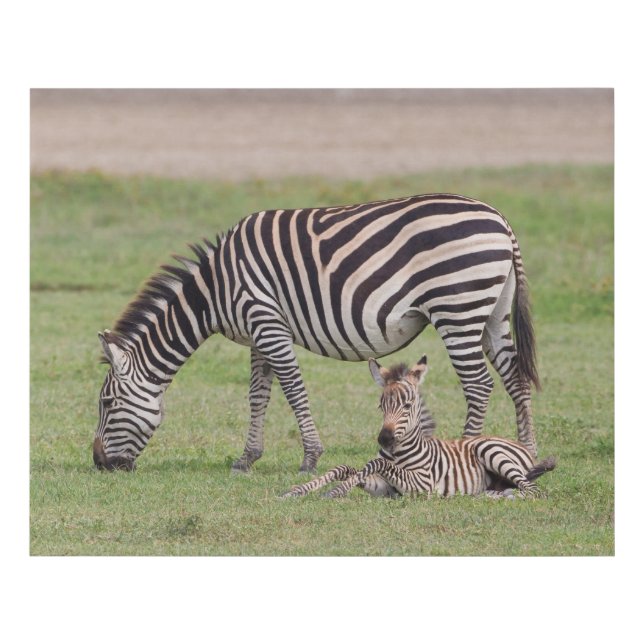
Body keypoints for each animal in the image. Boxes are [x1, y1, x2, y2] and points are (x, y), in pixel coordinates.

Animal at [93, 193, 540, 473]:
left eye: (107, 403)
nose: (98, 464)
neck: (215, 290)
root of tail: (500, 219)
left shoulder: (267, 322)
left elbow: (293, 389)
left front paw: (309, 458)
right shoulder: (258, 334)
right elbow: (258, 395)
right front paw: (247, 458)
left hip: (457, 308)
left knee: (479, 385)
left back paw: (468, 454)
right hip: (491, 313)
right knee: (515, 379)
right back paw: (529, 454)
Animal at [282, 356, 555, 499]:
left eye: (407, 405)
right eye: (381, 405)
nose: (384, 439)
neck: (399, 452)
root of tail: (521, 446)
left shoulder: (422, 484)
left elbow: (375, 463)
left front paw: (335, 492)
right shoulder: (385, 488)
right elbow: (346, 468)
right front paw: (299, 490)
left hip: (491, 452)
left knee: (533, 490)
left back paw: (500, 496)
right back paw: (488, 493)